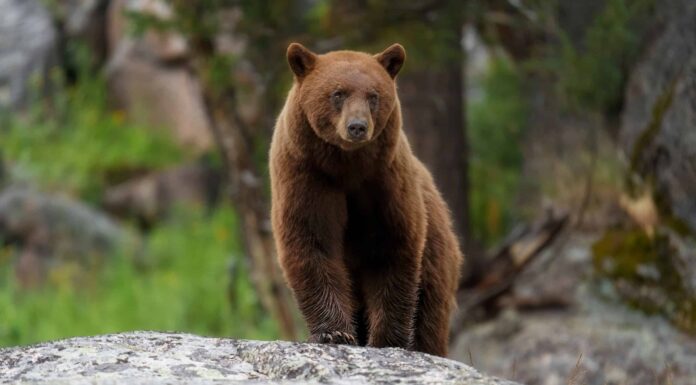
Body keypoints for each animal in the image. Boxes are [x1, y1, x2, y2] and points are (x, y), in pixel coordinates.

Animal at [270, 42, 462, 356]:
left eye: (373, 95)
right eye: (338, 93)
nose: (357, 126)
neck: (347, 166)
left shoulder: (385, 182)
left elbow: (391, 247)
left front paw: (386, 340)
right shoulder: (307, 176)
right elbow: (312, 242)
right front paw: (334, 332)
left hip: (437, 251)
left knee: (430, 312)